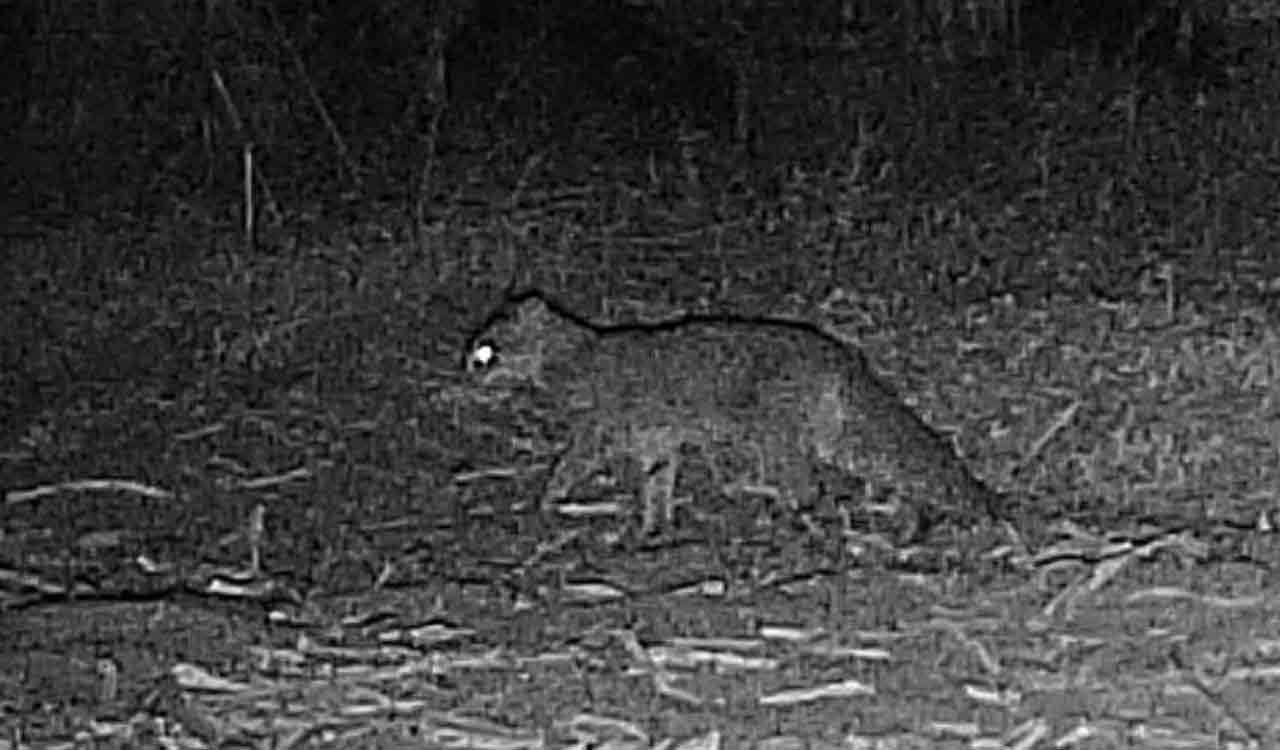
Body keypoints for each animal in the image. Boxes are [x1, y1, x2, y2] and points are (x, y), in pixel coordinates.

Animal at [465, 289, 1003, 540]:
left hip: (779, 435)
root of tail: (842, 353)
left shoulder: (601, 429)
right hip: (836, 439)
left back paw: (783, 517)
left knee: (809, 487)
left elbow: (567, 466)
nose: (464, 370)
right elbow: (657, 484)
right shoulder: (657, 439)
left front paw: (545, 501)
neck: (573, 357)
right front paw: (653, 528)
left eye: (486, 352)